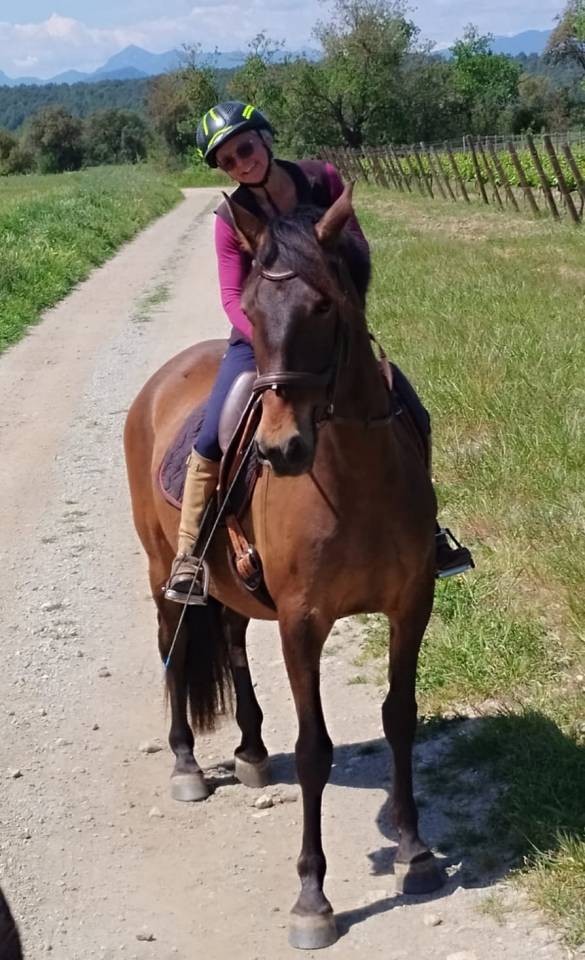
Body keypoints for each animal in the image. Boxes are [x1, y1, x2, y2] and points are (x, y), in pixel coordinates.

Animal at [124, 183, 443, 949]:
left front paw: (414, 853)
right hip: (163, 574)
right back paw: (186, 763)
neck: (354, 477)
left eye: (323, 305)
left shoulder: (410, 604)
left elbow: (400, 717)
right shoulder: (303, 623)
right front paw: (312, 898)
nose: (278, 450)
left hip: (234, 587)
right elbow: (315, 750)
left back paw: (248, 748)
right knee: (173, 649)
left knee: (233, 642)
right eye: (253, 308)